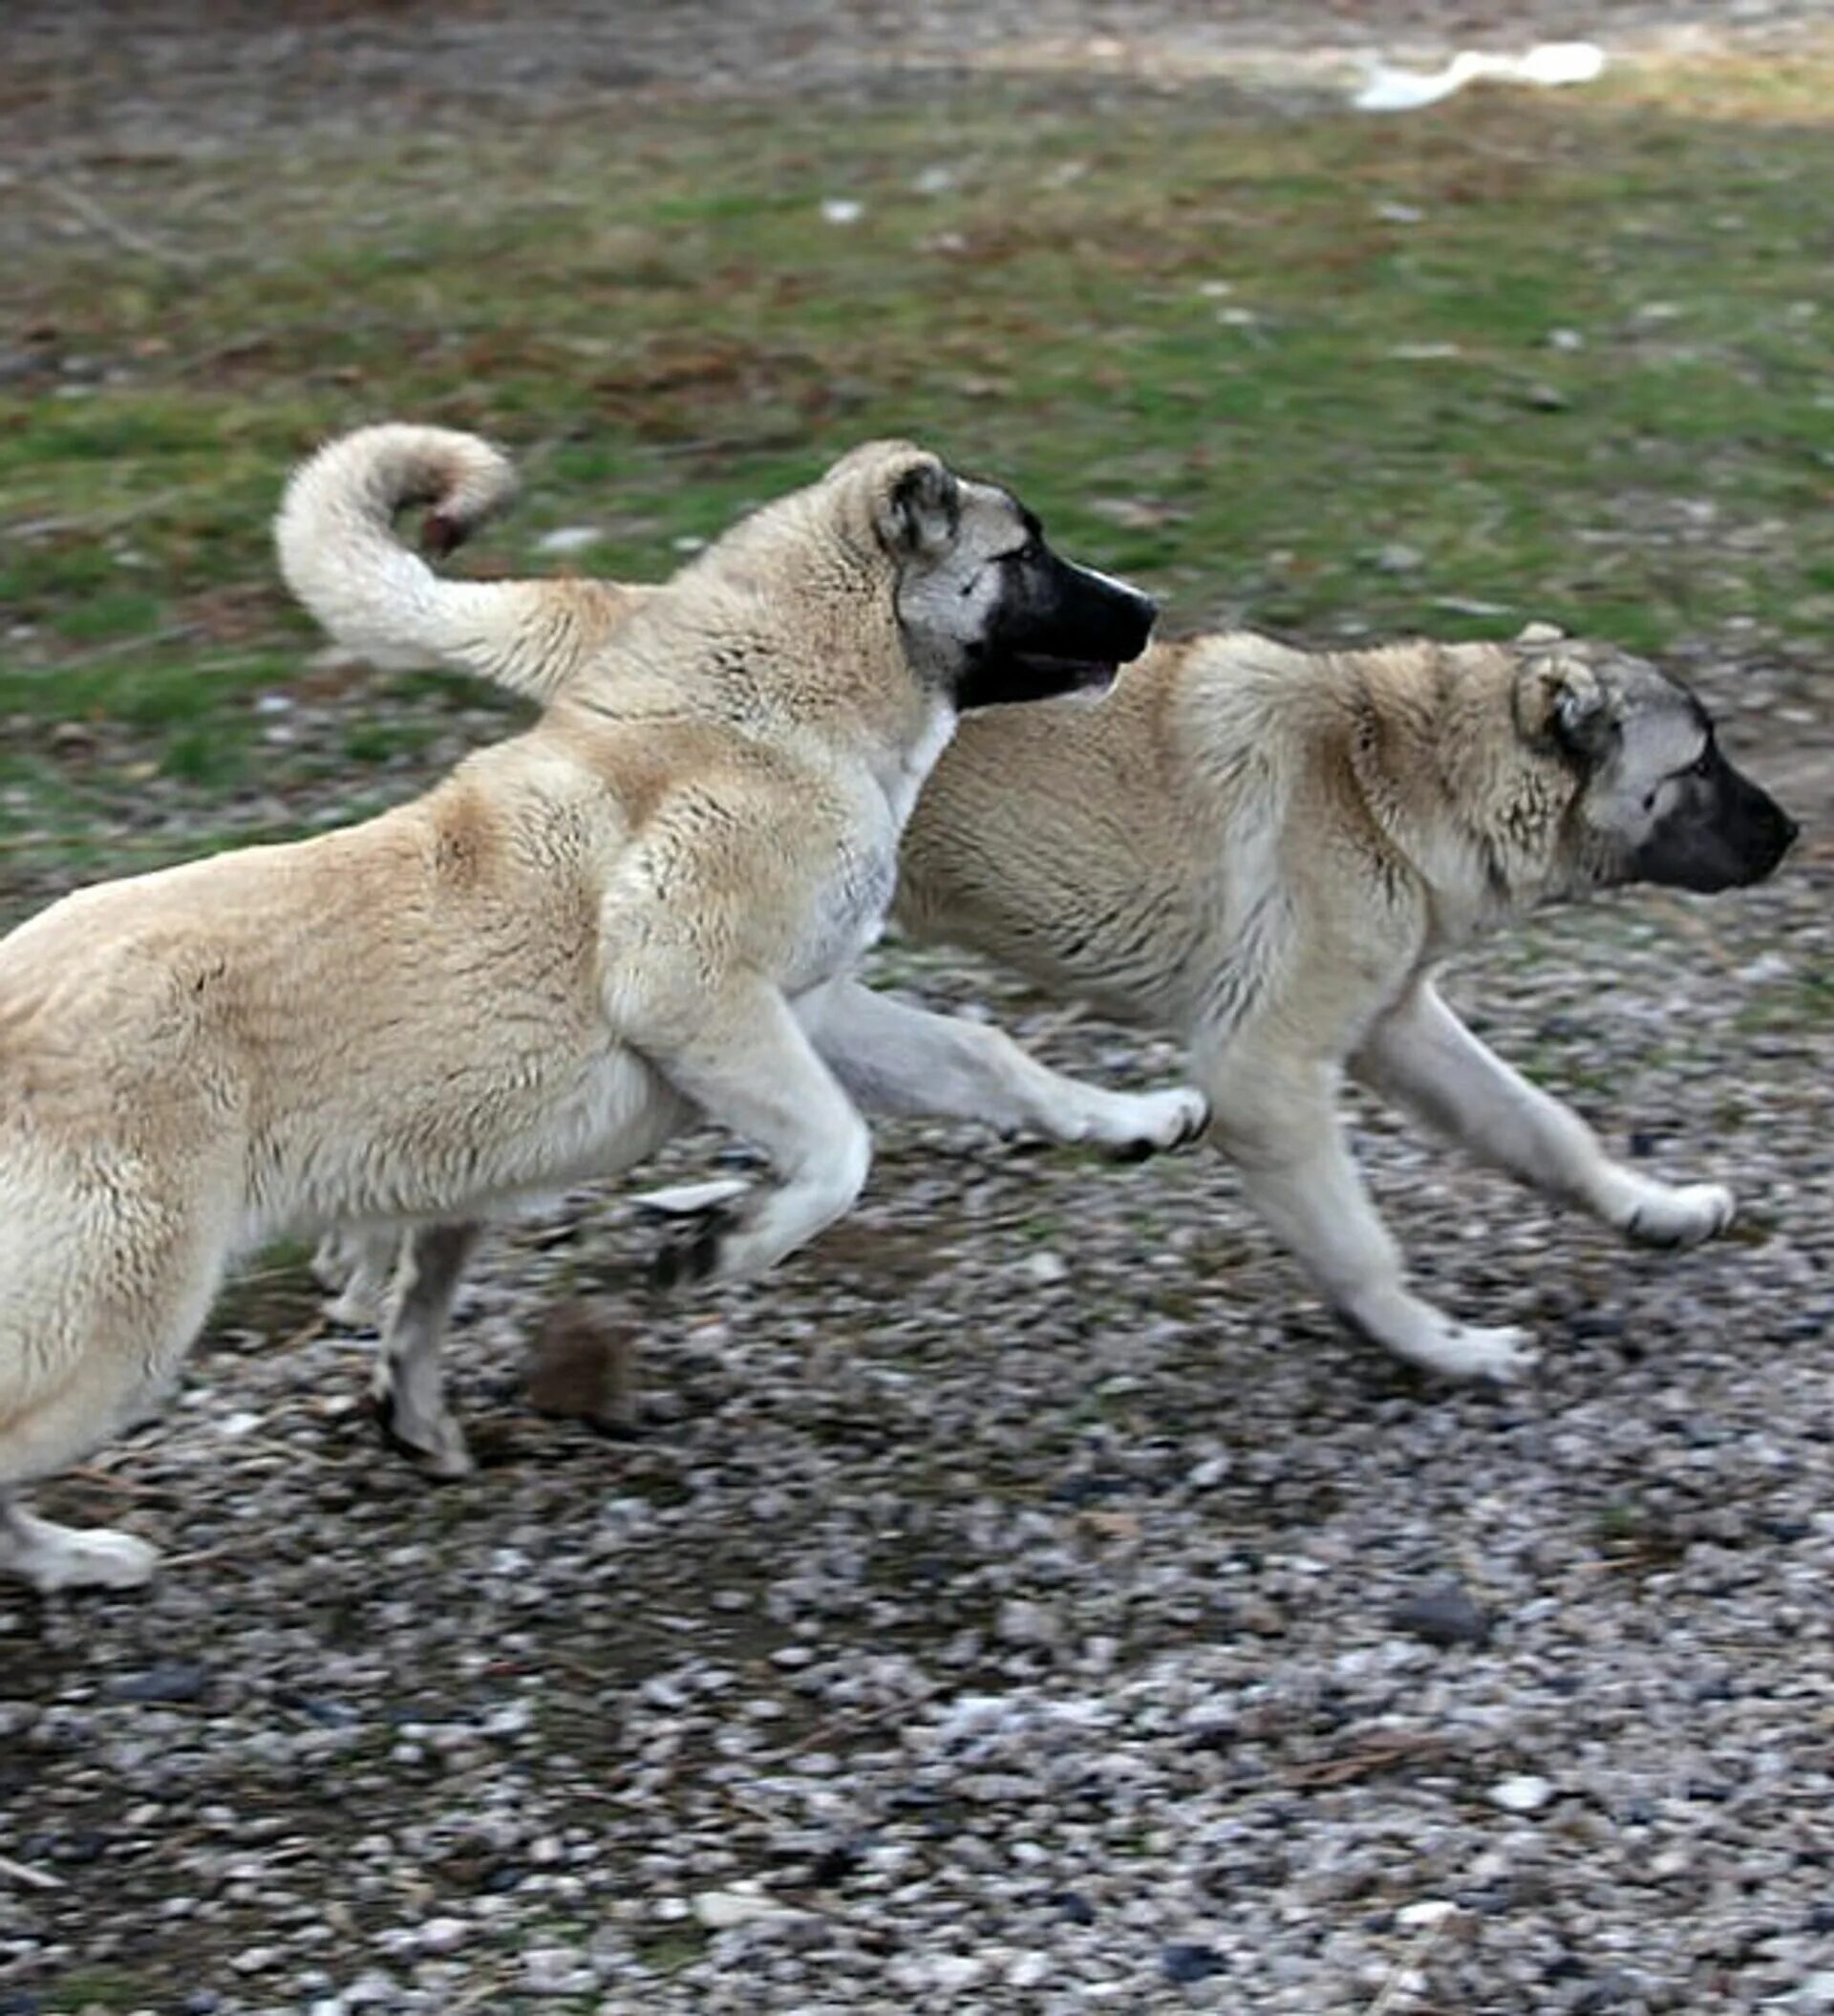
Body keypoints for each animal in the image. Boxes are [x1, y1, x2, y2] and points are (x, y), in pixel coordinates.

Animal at [3, 425, 1177, 1588]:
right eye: (1025, 552)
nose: (1153, 608)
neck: (770, 708)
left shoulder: (817, 1008)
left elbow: (989, 1059)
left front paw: (1143, 1120)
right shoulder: (691, 987)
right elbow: (840, 1154)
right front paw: (719, 1250)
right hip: (121, 1321)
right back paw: (83, 1557)